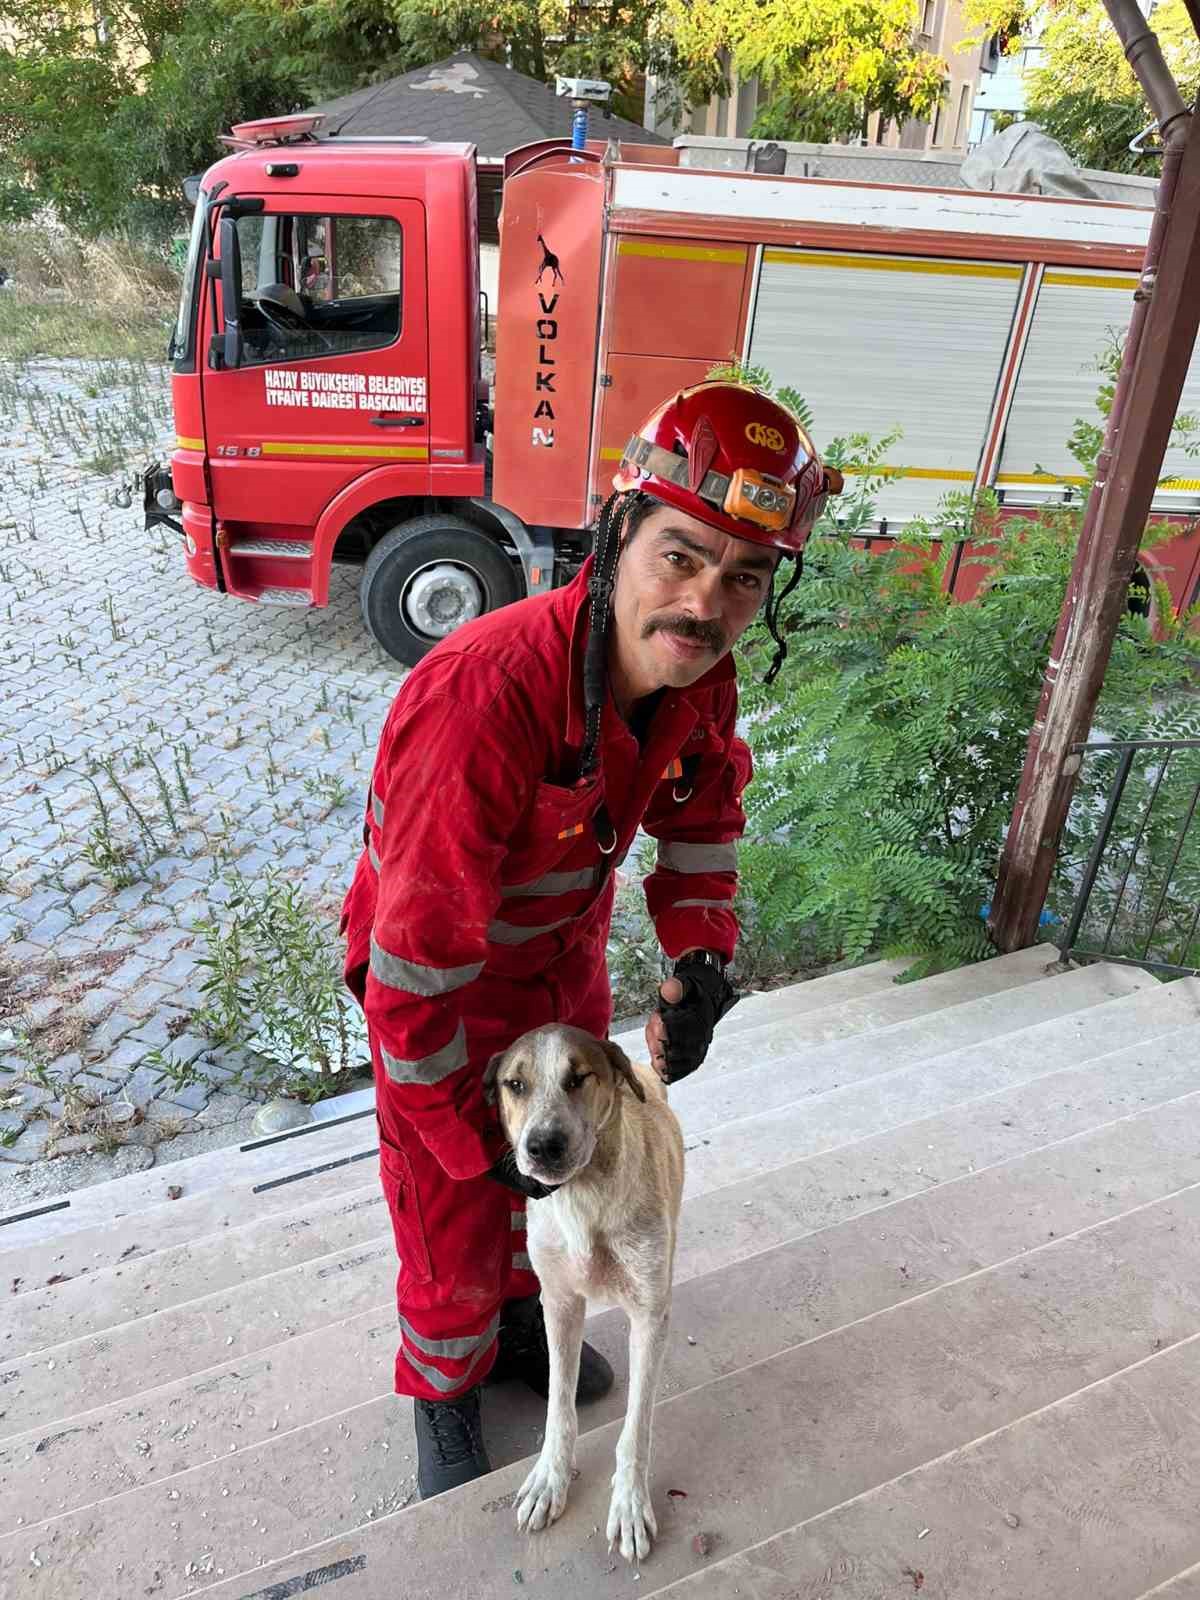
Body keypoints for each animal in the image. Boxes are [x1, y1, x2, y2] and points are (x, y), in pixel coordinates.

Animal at [483, 1024, 684, 1561]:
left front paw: (630, 1504)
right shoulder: (558, 1304)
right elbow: (559, 1406)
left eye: (579, 1078)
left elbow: (636, 1427)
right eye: (515, 1085)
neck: (584, 1196)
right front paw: (549, 1479)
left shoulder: (648, 1315)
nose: (542, 1146)